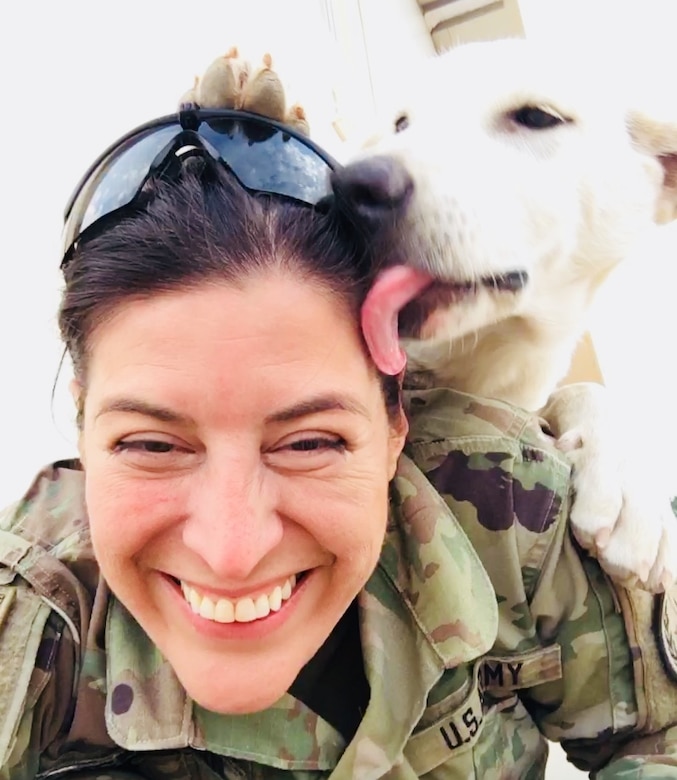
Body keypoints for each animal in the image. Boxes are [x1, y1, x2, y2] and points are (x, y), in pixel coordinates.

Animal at [328, 38, 676, 592]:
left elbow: (585, 389)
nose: (350, 187)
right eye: (402, 123)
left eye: (537, 116)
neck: (486, 364)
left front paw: (630, 486)